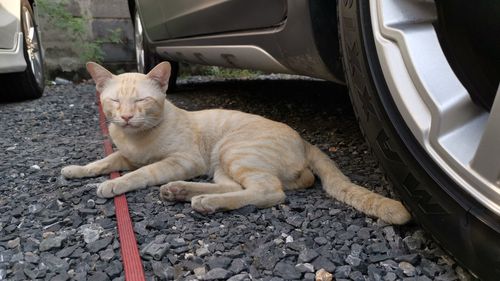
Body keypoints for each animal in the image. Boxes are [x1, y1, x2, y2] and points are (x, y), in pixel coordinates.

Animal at [60, 61, 412, 223]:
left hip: (235, 151)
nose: (126, 117)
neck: (136, 138)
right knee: (237, 187)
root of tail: (302, 139)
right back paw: (183, 192)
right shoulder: (126, 155)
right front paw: (76, 170)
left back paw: (203, 201)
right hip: (224, 162)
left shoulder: (183, 160)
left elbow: (141, 173)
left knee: (269, 191)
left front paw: (114, 184)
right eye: (115, 102)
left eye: (141, 101)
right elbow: (105, 161)